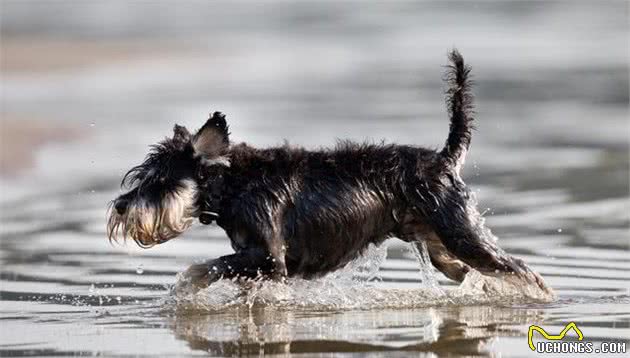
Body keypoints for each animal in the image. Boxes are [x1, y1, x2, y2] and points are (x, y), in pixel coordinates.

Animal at [108, 50, 552, 294]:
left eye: (159, 181)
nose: (121, 207)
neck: (235, 185)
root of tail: (444, 159)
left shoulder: (267, 259)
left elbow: (201, 268)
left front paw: (184, 288)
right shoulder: (258, 265)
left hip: (462, 236)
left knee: (521, 269)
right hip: (441, 248)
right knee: (476, 273)